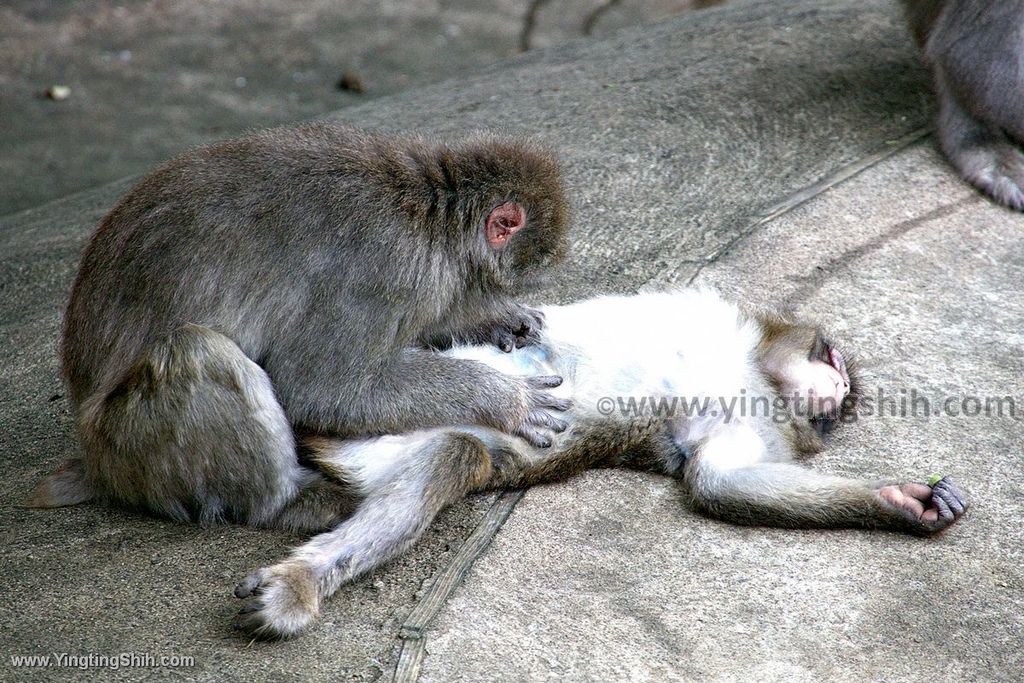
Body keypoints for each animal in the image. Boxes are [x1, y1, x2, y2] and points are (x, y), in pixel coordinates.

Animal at [32, 121, 573, 528]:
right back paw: (289, 502)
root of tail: (96, 462)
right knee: (197, 352)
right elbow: (325, 389)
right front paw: (504, 399)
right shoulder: (385, 266)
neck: (432, 214)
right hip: (128, 445)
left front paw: (494, 318)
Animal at [230, 290, 966, 643]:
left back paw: (305, 578)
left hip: (374, 442)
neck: (756, 377)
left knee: (453, 452)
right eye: (831, 364)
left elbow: (718, 481)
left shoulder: (739, 421)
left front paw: (899, 500)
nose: (833, 398)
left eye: (838, 412)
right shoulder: (716, 321)